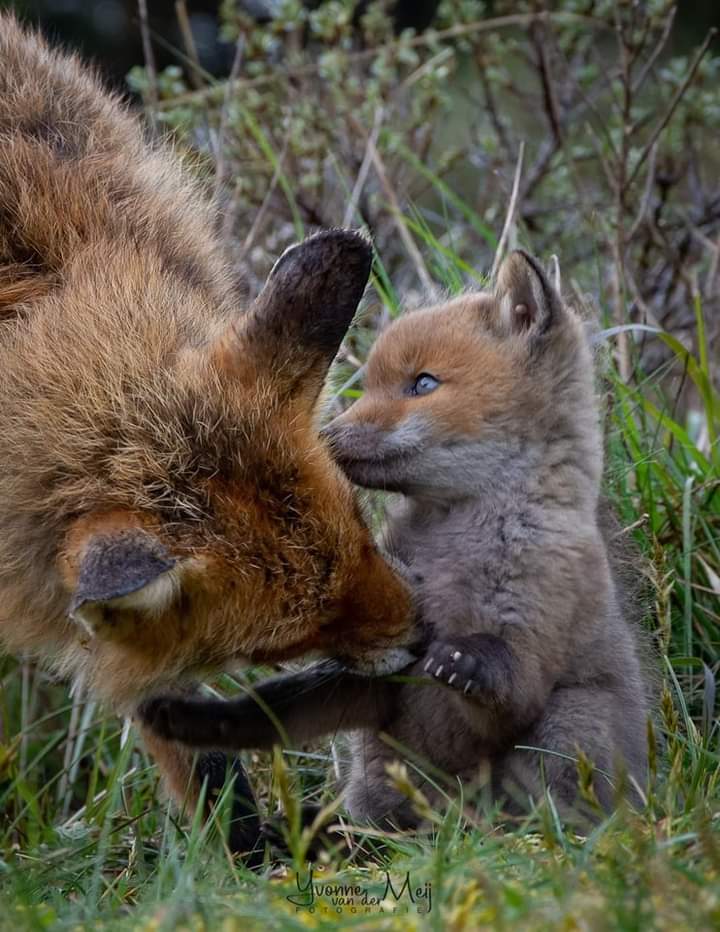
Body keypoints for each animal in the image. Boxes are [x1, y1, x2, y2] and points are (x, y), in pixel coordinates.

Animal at [0, 12, 414, 852]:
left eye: (364, 528)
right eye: (286, 639)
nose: (426, 637)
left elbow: (193, 749)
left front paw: (252, 857)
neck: (24, 302)